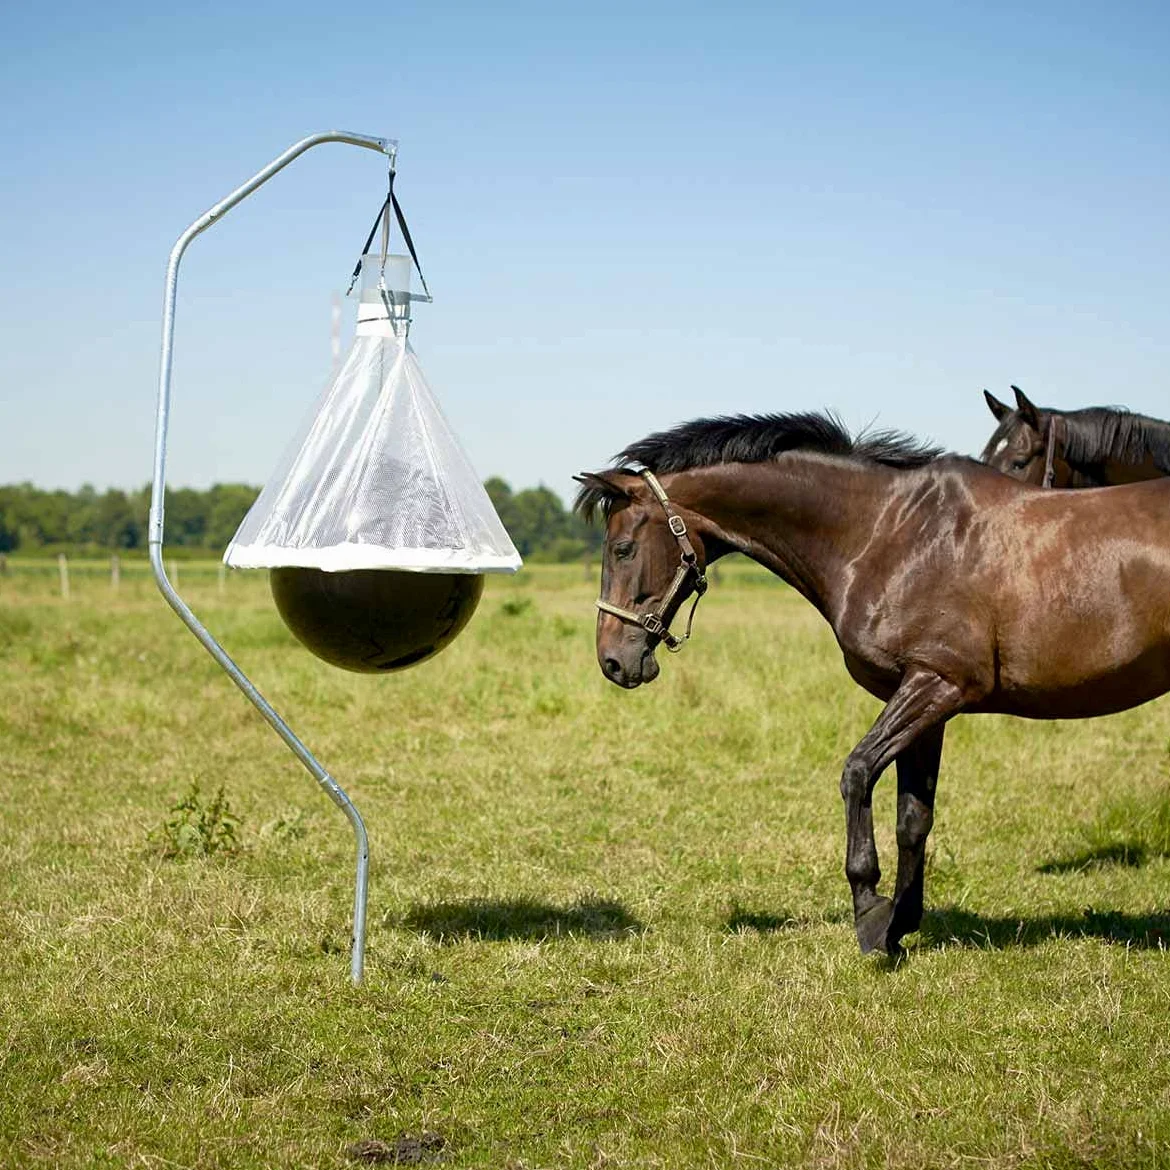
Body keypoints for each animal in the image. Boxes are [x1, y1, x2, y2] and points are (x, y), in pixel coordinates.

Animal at [575, 411, 1170, 956]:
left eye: (623, 549)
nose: (613, 661)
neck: (890, 534)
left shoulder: (936, 684)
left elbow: (857, 773)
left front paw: (869, 911)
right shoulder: (925, 696)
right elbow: (913, 817)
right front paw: (901, 922)